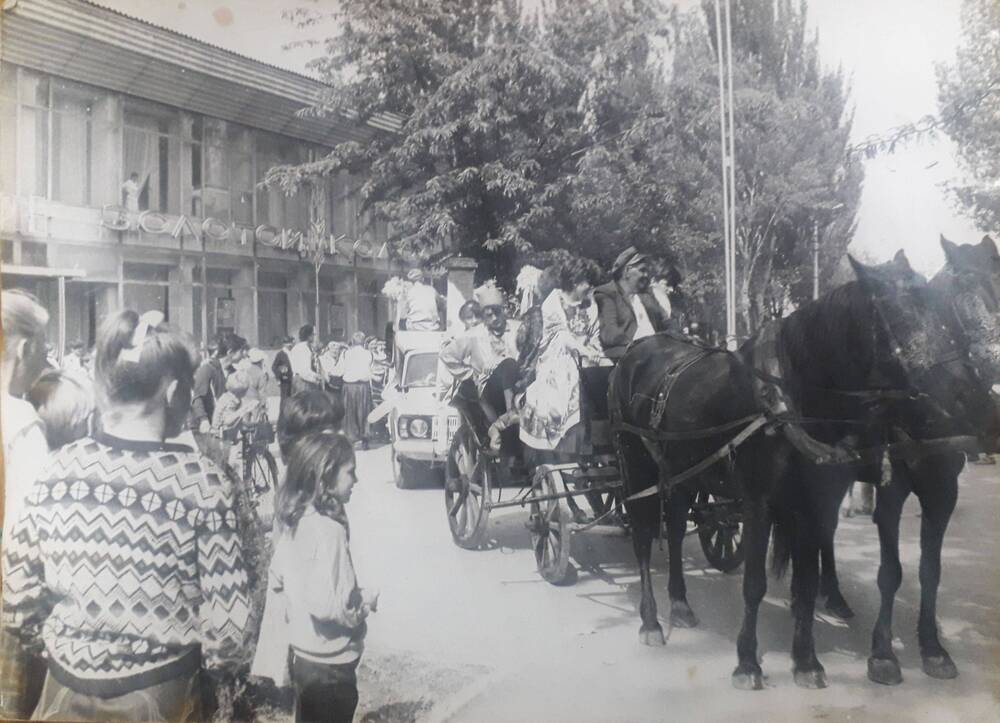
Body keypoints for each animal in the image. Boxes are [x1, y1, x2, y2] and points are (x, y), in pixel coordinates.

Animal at [604, 253, 996, 692]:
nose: (973, 399)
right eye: (895, 315)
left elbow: (809, 583)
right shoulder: (760, 502)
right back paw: (651, 621)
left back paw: (681, 604)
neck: (790, 398)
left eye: (939, 311)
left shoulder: (826, 500)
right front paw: (748, 662)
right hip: (636, 466)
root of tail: (637, 351)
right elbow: (755, 583)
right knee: (643, 536)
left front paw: (807, 660)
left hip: (684, 471)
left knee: (672, 528)